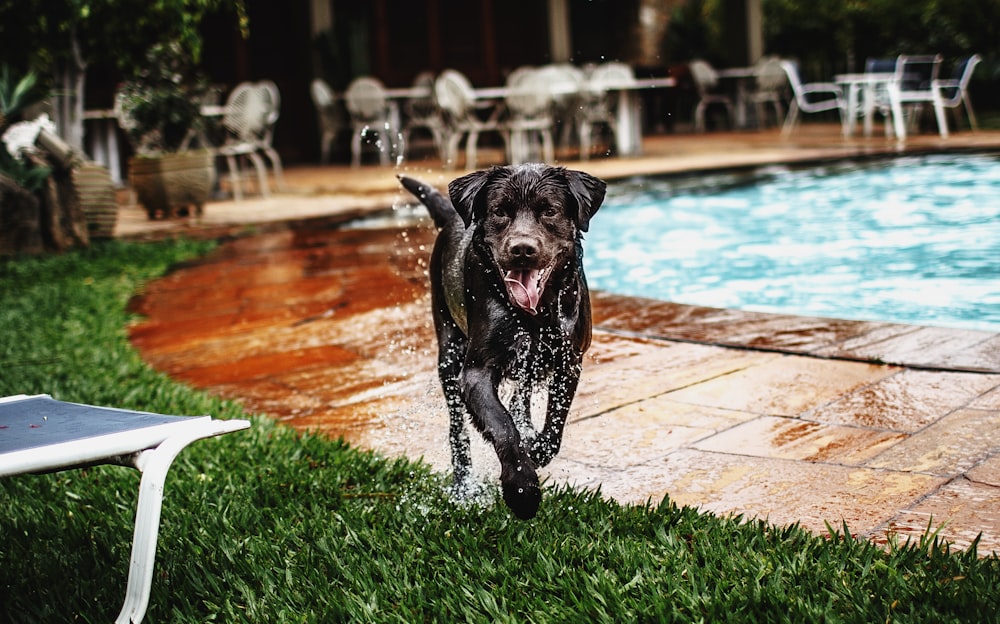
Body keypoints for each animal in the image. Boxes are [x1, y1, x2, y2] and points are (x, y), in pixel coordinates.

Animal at [396, 163, 600, 520]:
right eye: (500, 212)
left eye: (549, 211)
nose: (522, 249)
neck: (535, 314)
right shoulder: (476, 371)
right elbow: (502, 426)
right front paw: (522, 490)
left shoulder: (569, 360)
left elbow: (554, 425)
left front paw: (536, 450)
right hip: (448, 351)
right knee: (457, 429)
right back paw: (463, 486)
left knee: (522, 398)